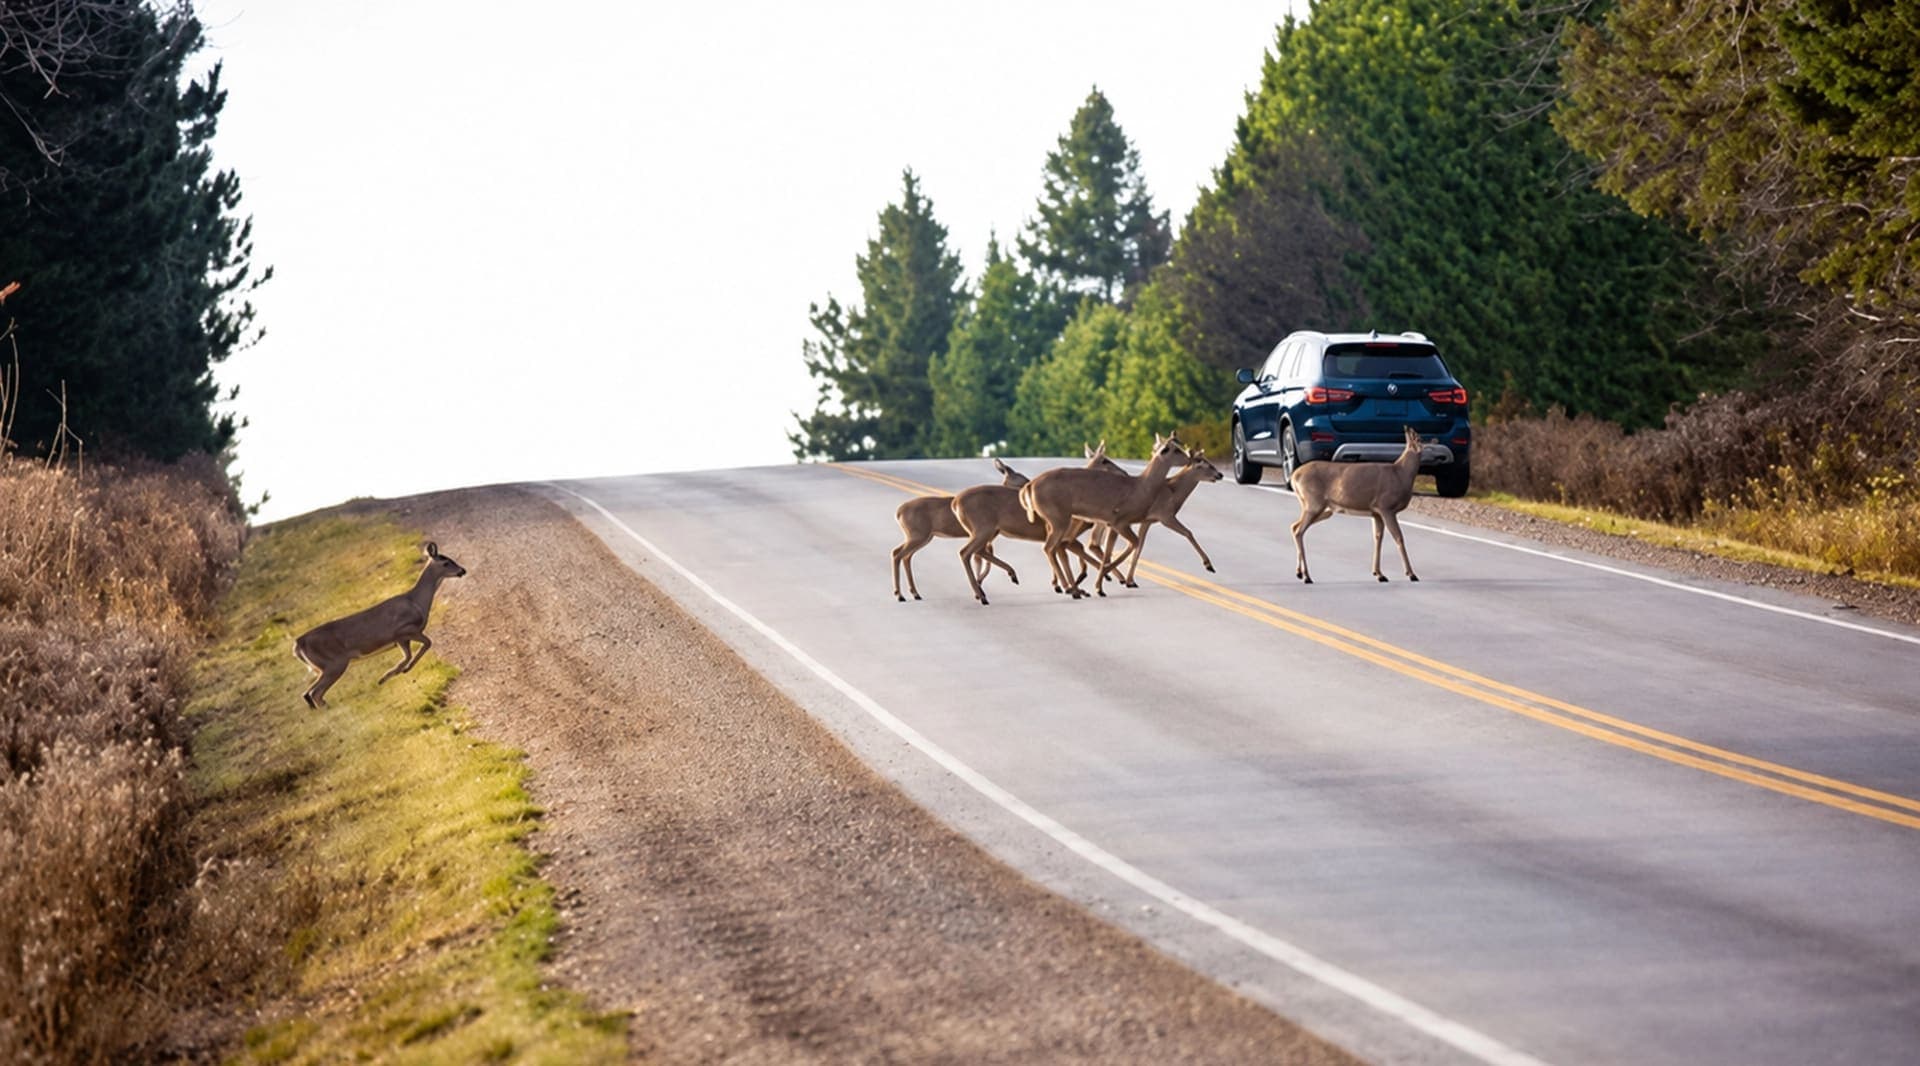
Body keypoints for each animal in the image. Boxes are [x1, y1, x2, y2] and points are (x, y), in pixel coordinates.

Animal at [293, 541, 468, 708]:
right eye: (446, 562)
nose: (463, 570)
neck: (416, 602)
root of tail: (298, 643)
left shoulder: (401, 639)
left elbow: (408, 655)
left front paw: (394, 673)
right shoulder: (404, 630)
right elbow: (427, 643)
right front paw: (393, 673)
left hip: (323, 667)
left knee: (307, 693)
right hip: (334, 663)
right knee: (315, 693)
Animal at [892, 458, 1026, 602]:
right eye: (1020, 477)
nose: (1029, 484)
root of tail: (898, 512)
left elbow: (981, 560)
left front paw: (979, 588)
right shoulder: (986, 535)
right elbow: (983, 560)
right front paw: (980, 589)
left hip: (922, 536)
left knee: (904, 555)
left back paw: (915, 593)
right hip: (918, 534)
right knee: (897, 554)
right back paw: (900, 595)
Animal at [950, 444, 1127, 606]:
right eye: (1105, 460)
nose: (1124, 473)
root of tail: (955, 503)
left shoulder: (1063, 537)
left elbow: (1069, 556)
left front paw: (1070, 586)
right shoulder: (1063, 534)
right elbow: (1067, 556)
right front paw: (1078, 587)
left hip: (989, 530)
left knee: (978, 551)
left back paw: (1001, 581)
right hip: (983, 528)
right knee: (965, 552)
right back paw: (982, 594)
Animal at [1019, 433, 1187, 600]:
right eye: (1175, 449)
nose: (1189, 458)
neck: (1140, 486)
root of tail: (1029, 486)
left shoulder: (1111, 524)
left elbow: (1108, 550)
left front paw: (1104, 583)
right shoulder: (1118, 522)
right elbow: (1129, 544)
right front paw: (1106, 584)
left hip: (1058, 524)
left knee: (1058, 547)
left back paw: (1072, 588)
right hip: (1060, 522)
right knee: (1051, 548)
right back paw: (1071, 588)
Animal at [1289, 424, 1425, 584]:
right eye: (1422, 439)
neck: (1401, 474)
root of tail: (1294, 476)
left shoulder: (1376, 512)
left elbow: (1378, 538)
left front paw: (1379, 574)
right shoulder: (1386, 507)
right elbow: (1399, 537)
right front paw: (1411, 574)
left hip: (1321, 509)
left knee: (1294, 526)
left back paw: (1299, 573)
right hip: (1313, 503)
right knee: (1299, 530)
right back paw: (1307, 576)